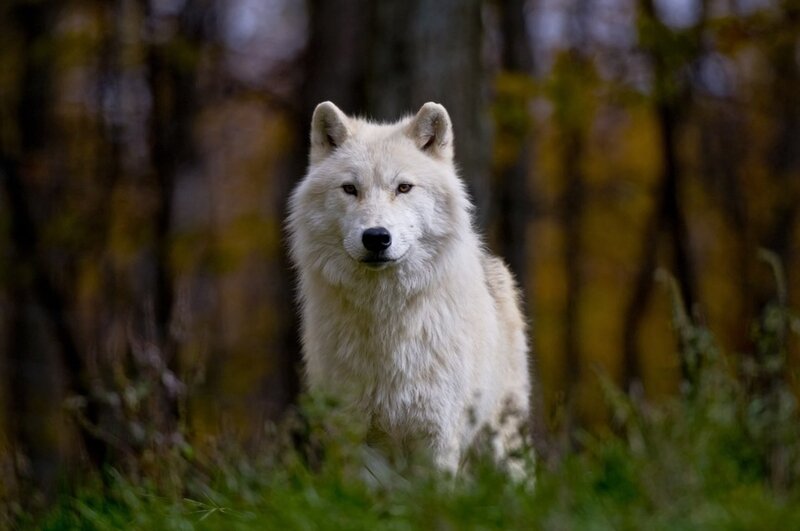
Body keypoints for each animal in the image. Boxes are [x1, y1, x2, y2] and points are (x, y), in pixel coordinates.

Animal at [287, 101, 531, 474]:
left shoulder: (436, 435)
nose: (376, 237)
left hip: (502, 449)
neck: (386, 320)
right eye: (350, 189)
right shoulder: (355, 435)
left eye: (403, 188)